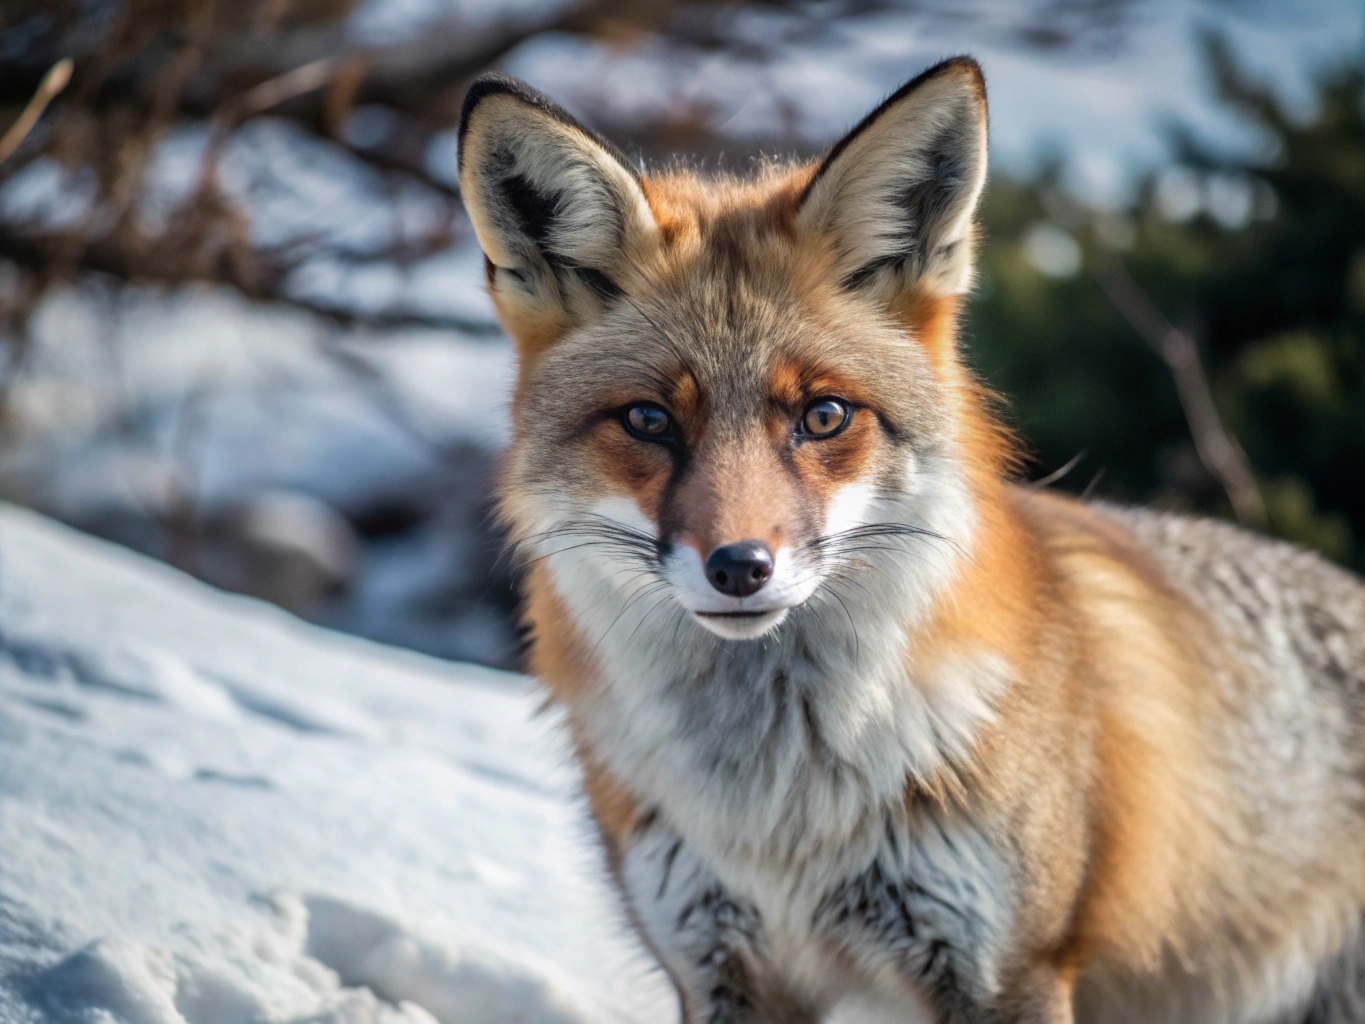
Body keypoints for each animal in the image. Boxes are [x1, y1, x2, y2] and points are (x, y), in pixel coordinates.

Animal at [456, 57, 1365, 1023]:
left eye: (823, 416)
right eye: (648, 421)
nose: (740, 568)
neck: (778, 813)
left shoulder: (1007, 966)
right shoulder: (718, 962)